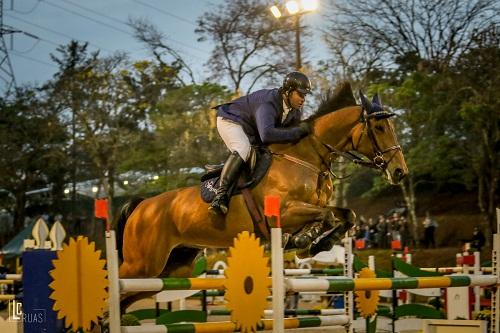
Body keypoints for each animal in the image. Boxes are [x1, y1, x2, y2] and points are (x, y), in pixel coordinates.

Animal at [116, 83, 406, 306]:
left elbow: (347, 215)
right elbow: (326, 217)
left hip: (171, 267)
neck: (307, 158)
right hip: (142, 264)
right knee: (117, 284)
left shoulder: (315, 207)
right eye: (379, 128)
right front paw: (304, 241)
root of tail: (141, 206)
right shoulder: (285, 212)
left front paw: (314, 243)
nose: (400, 171)